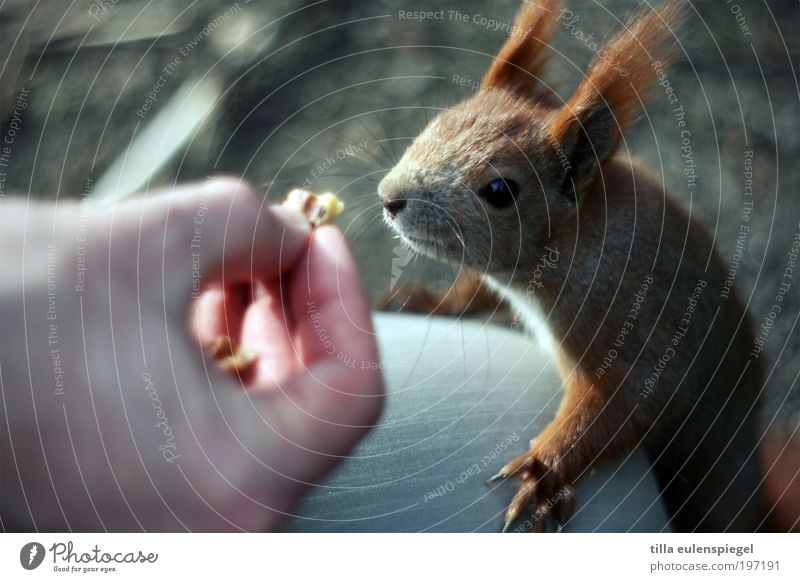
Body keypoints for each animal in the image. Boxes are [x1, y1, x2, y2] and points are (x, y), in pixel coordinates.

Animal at [376, 0, 764, 532]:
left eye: (499, 190)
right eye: (438, 122)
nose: (389, 198)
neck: (564, 250)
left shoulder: (636, 322)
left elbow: (623, 404)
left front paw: (541, 472)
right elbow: (474, 290)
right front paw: (422, 300)